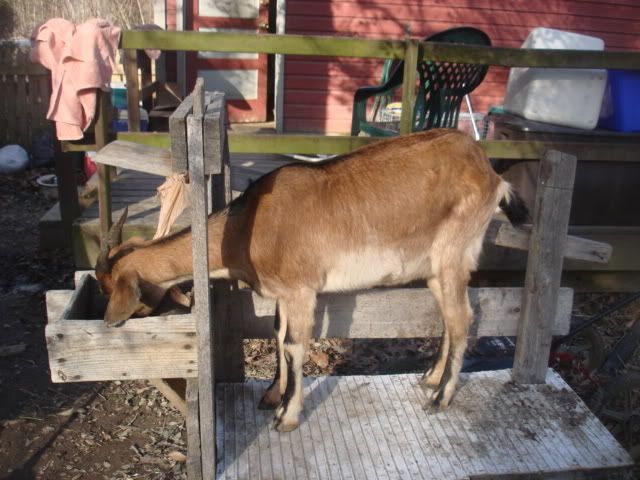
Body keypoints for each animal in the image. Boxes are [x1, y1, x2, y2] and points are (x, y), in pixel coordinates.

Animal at [95, 129, 527, 432]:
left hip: (453, 255)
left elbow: (293, 345)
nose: (109, 322)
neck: (249, 226)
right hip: (436, 269)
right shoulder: (284, 293)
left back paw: (441, 397)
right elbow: (277, 334)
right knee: (451, 321)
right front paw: (273, 395)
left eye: (110, 286)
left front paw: (287, 416)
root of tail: (491, 172)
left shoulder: (302, 290)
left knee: (463, 319)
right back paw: (431, 378)